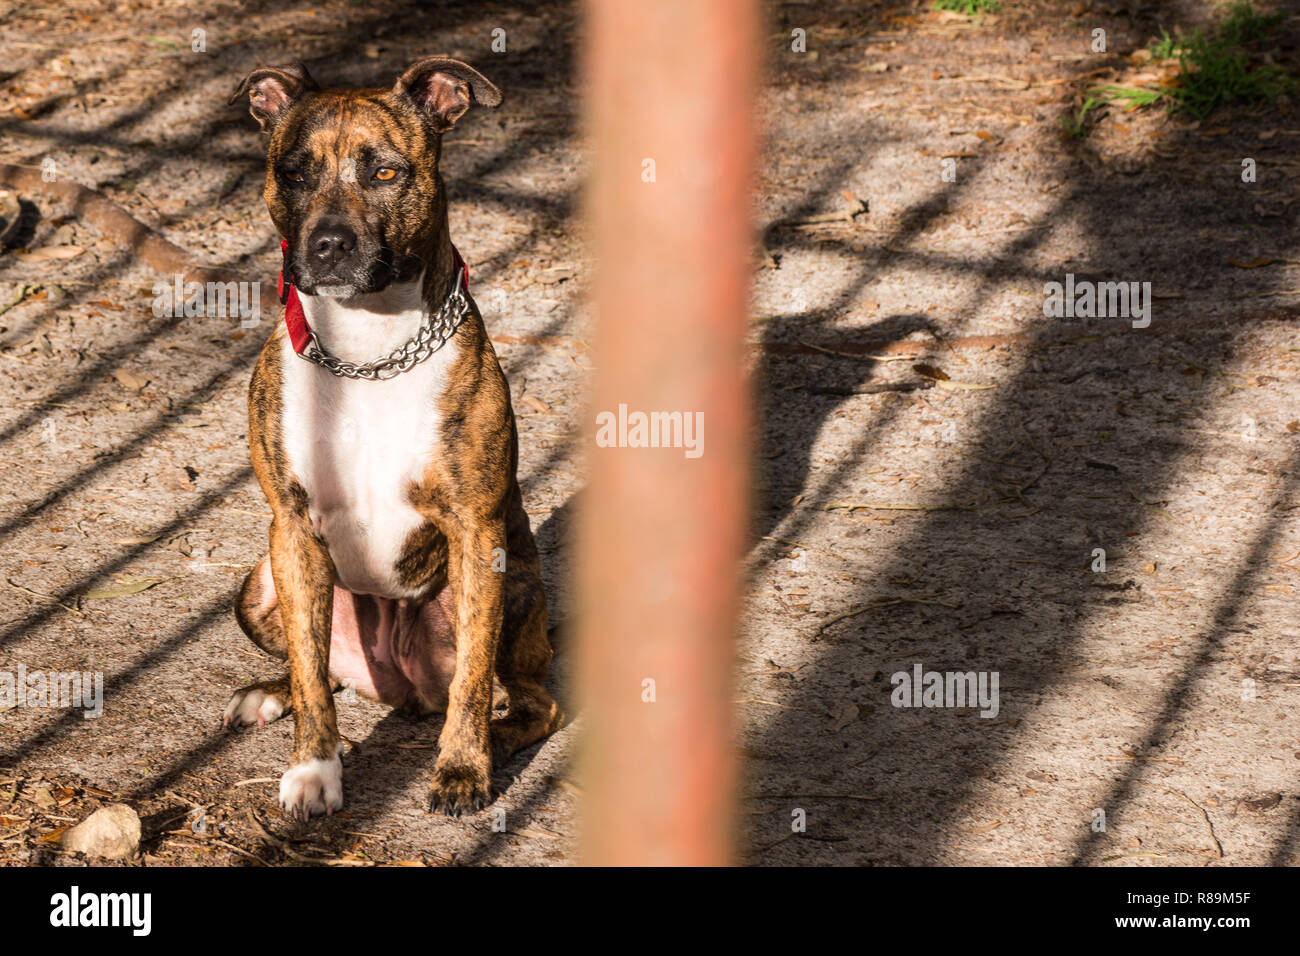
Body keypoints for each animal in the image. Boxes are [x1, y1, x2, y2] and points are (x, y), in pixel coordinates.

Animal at [219, 55, 564, 816]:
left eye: (384, 172)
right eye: (294, 173)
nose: (327, 245)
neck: (367, 352)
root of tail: (398, 688)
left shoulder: (476, 531)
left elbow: (471, 682)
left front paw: (462, 769)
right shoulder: (292, 526)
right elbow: (311, 672)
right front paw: (315, 768)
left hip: (516, 588)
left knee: (527, 701)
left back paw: (494, 740)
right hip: (260, 582)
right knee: (314, 666)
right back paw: (274, 697)